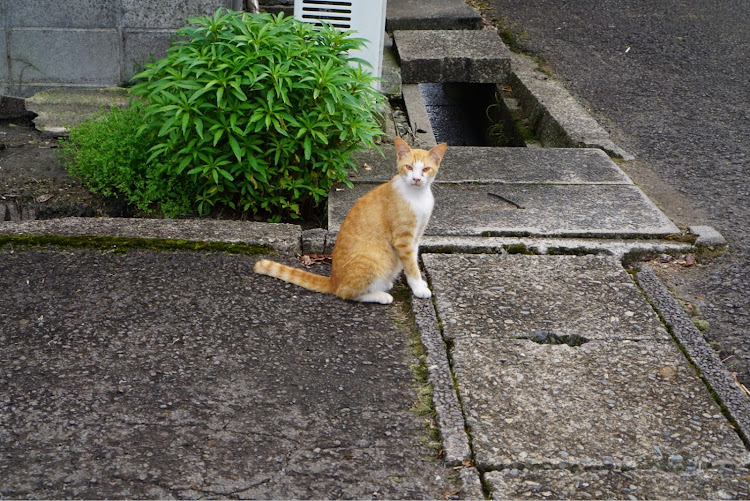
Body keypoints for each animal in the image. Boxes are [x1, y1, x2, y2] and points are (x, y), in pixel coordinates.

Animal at [256, 135, 450, 302]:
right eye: (409, 167)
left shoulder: (416, 236)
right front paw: (418, 287)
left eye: (425, 169)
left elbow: (414, 260)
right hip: (372, 260)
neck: (417, 197)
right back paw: (380, 295)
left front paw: (420, 282)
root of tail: (334, 280)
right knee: (346, 293)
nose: (416, 179)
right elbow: (410, 266)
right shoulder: (403, 240)